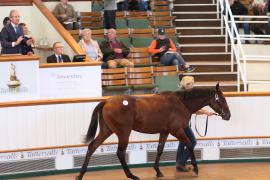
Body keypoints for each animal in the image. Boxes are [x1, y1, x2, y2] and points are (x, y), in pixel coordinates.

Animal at [76, 83, 230, 179]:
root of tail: (107, 101)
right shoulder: (177, 130)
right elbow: (189, 145)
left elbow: (160, 149)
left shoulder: (165, 132)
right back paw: (131, 175)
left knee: (92, 147)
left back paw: (80, 174)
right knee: (120, 153)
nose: (228, 115)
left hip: (106, 131)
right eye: (222, 99)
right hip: (123, 133)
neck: (181, 103)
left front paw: (158, 171)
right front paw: (195, 169)